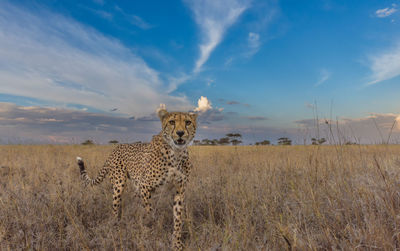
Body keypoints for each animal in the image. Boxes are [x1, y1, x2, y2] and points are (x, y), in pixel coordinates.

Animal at [76, 107, 197, 249]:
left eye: (188, 122)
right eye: (172, 122)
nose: (180, 133)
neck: (176, 153)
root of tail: (116, 148)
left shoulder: (179, 191)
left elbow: (178, 219)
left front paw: (177, 243)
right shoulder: (145, 186)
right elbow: (150, 213)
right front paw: (155, 234)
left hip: (135, 187)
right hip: (119, 185)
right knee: (115, 208)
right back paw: (116, 227)